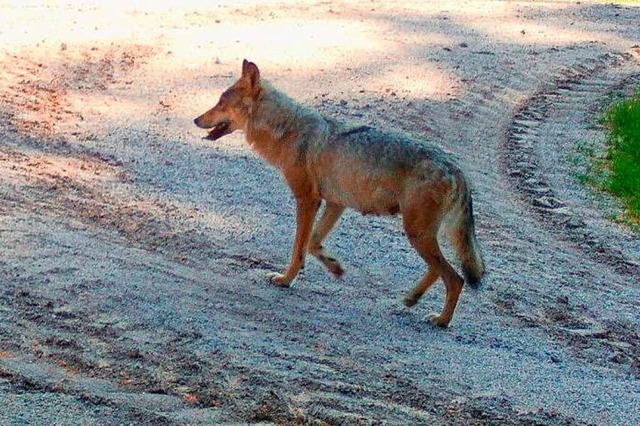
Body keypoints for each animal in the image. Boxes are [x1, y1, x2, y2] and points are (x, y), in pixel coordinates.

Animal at [195, 59, 484, 326]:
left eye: (220, 103)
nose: (195, 119)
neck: (287, 130)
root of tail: (455, 168)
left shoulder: (307, 200)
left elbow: (298, 248)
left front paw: (286, 279)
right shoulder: (335, 203)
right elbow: (312, 243)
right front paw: (334, 266)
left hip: (417, 234)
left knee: (455, 278)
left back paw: (441, 320)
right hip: (421, 235)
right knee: (441, 271)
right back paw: (412, 299)